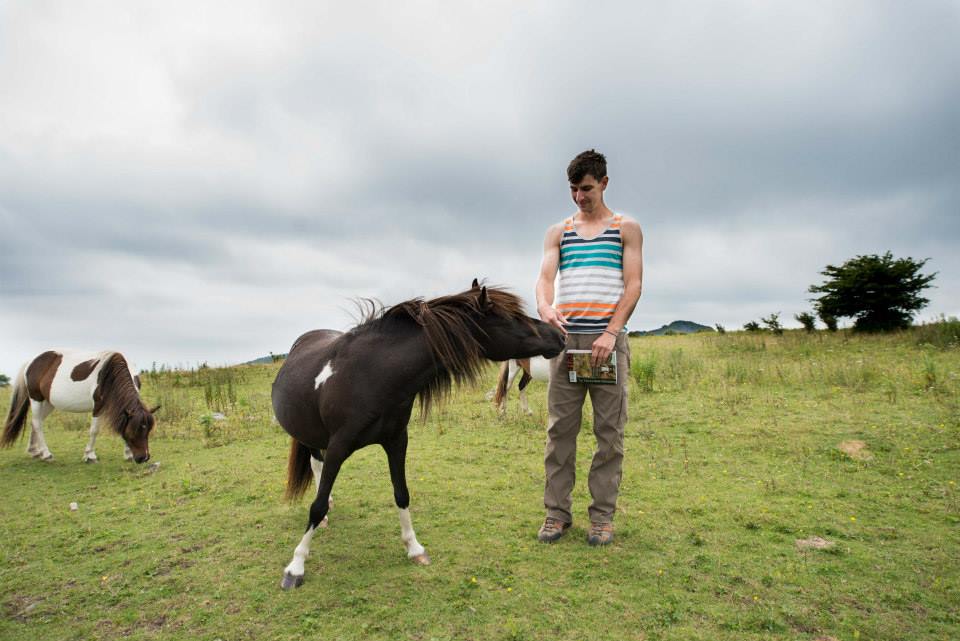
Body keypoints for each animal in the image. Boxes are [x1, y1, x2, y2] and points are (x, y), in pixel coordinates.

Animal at [2, 350, 158, 464]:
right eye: (133, 433)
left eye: (148, 431)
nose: (143, 458)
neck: (110, 375)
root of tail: (31, 362)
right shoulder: (98, 406)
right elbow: (94, 431)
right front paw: (90, 455)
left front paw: (128, 453)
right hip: (36, 399)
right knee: (37, 423)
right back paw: (46, 454)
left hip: (48, 403)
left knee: (36, 422)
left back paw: (35, 451)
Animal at [271, 280, 565, 589]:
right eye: (512, 318)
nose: (560, 335)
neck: (372, 374)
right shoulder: (339, 446)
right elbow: (315, 508)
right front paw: (295, 567)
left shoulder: (397, 441)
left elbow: (402, 494)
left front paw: (414, 548)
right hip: (310, 435)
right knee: (316, 465)